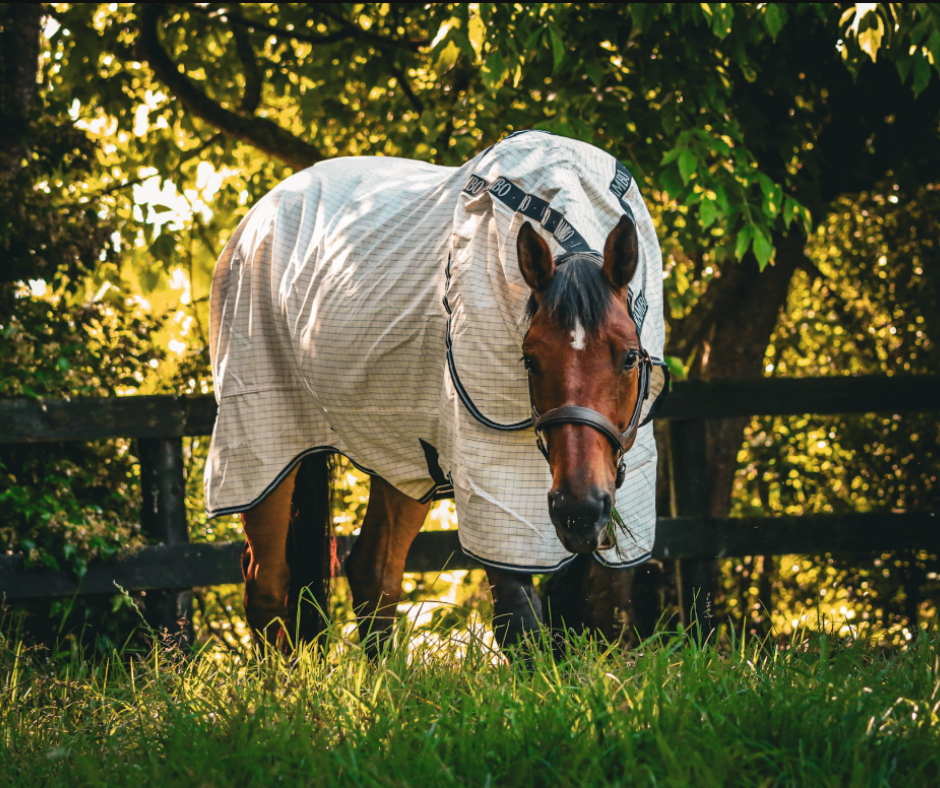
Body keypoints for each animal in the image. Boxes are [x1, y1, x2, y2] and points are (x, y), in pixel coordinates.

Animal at [205, 131, 668, 653]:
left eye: (629, 357)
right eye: (529, 360)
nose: (579, 512)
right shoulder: (488, 478)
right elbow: (518, 622)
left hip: (404, 456)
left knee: (373, 574)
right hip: (262, 447)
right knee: (266, 584)